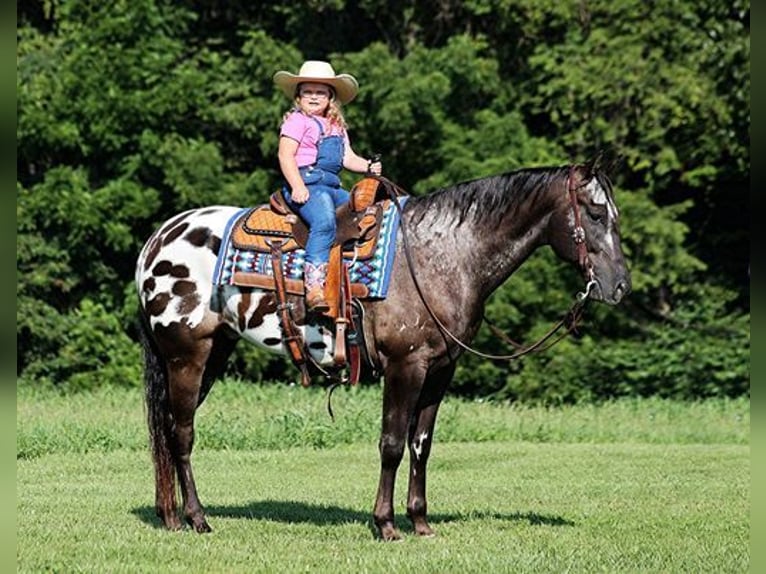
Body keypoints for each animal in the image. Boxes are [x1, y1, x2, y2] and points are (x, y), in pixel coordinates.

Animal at [136, 160, 632, 544]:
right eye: (594, 212)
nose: (620, 287)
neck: (440, 257)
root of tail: (157, 241)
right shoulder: (404, 366)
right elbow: (391, 443)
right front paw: (386, 524)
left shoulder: (440, 370)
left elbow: (421, 445)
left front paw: (421, 522)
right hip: (186, 356)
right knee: (180, 434)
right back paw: (197, 519)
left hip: (213, 353)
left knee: (168, 430)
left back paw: (171, 515)